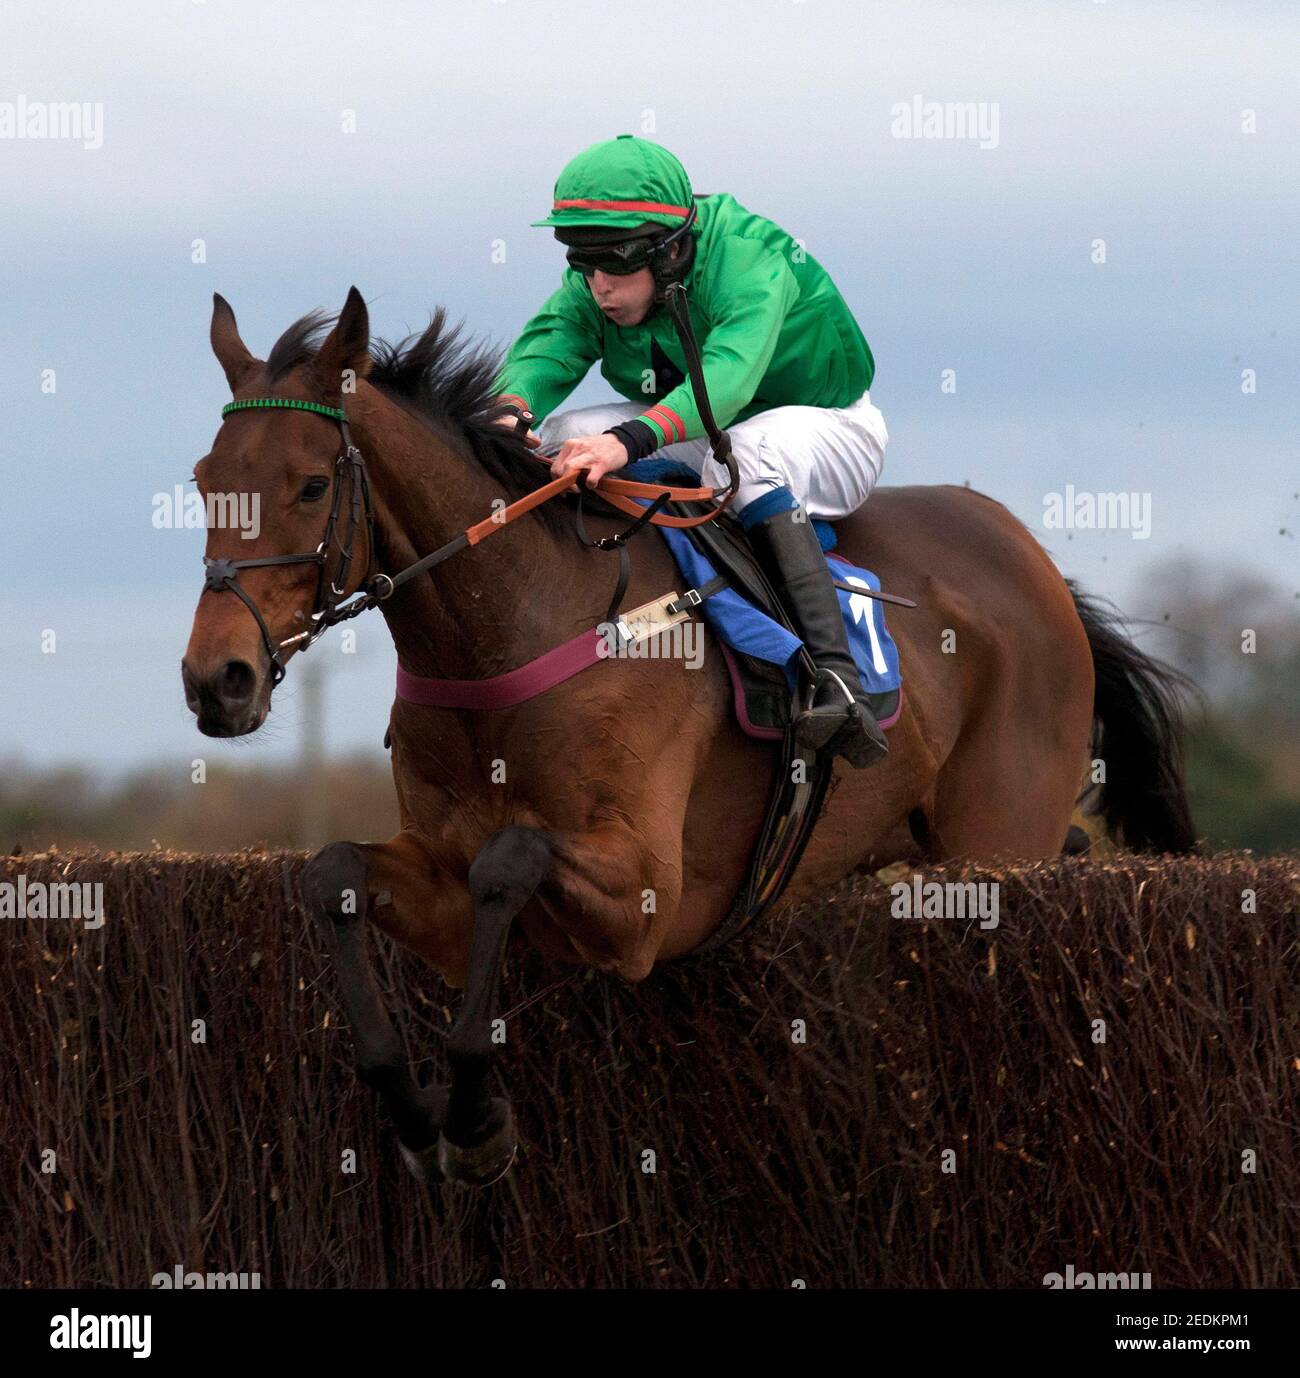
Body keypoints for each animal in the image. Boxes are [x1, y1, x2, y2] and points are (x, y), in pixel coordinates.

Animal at [182, 287, 1196, 1186]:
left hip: (994, 840)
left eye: (313, 485)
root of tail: (1033, 560)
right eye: (204, 483)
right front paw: (412, 1106)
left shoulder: (648, 899)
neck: (514, 620)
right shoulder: (437, 880)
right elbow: (334, 876)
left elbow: (508, 860)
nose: (215, 680)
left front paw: (471, 1121)